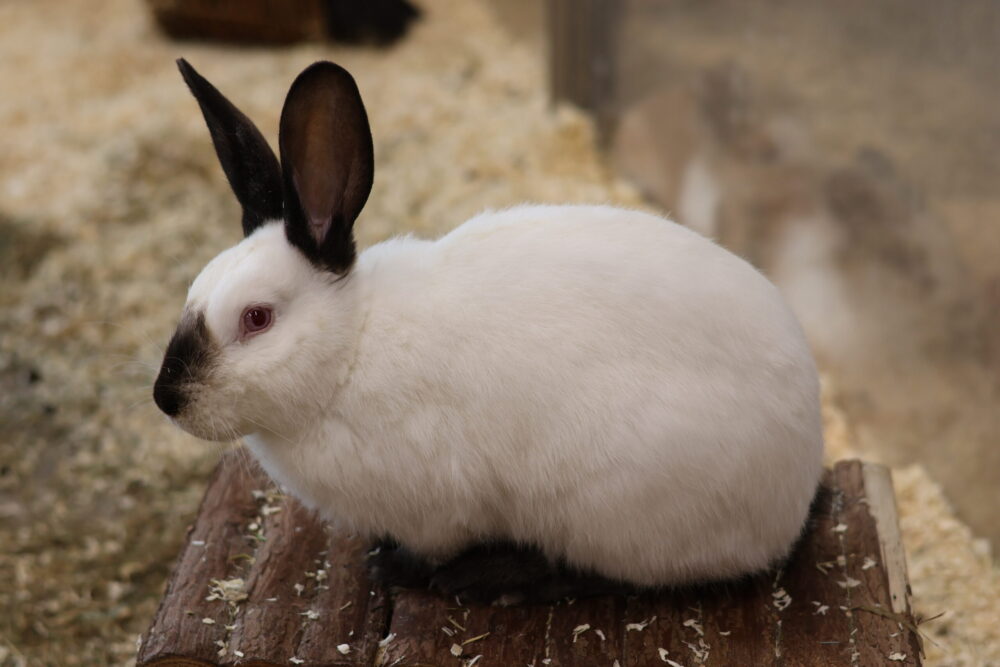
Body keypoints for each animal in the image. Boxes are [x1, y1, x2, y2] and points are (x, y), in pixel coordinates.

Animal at [154, 59, 824, 603]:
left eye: (257, 318)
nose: (166, 400)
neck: (350, 350)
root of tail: (799, 488)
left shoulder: (437, 511)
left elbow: (433, 545)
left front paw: (393, 567)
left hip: (614, 514)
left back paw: (493, 580)